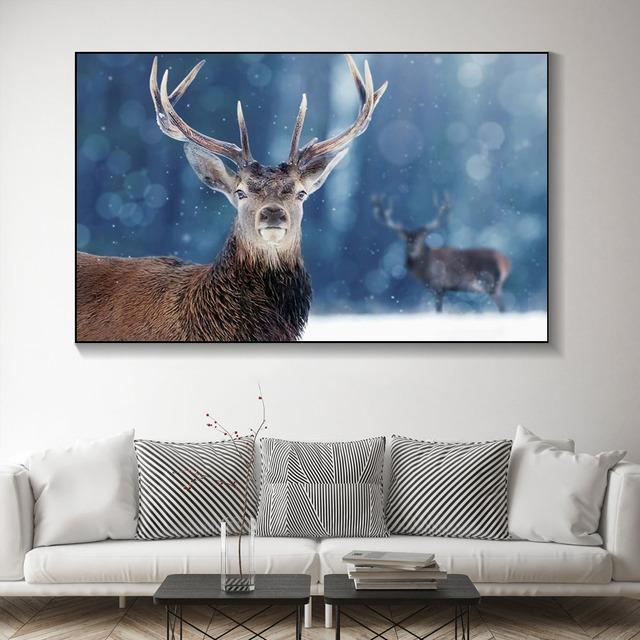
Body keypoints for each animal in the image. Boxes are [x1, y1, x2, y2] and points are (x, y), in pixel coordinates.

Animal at [373, 193, 511, 312]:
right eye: (406, 239)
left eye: (421, 238)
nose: (411, 249)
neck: (424, 270)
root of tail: (507, 262)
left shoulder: (438, 286)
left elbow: (438, 311)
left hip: (492, 284)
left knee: (503, 308)